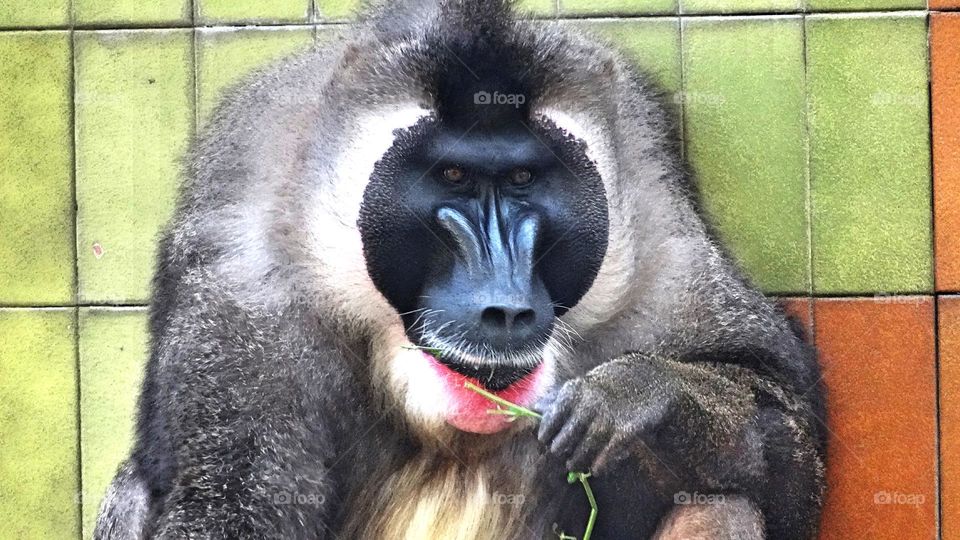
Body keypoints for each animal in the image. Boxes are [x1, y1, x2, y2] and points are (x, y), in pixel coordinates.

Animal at [94, 0, 826, 538]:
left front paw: (635, 393)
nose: (504, 307)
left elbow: (790, 443)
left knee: (720, 500)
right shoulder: (245, 298)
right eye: (452, 176)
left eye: (524, 179)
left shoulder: (666, 259)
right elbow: (230, 500)